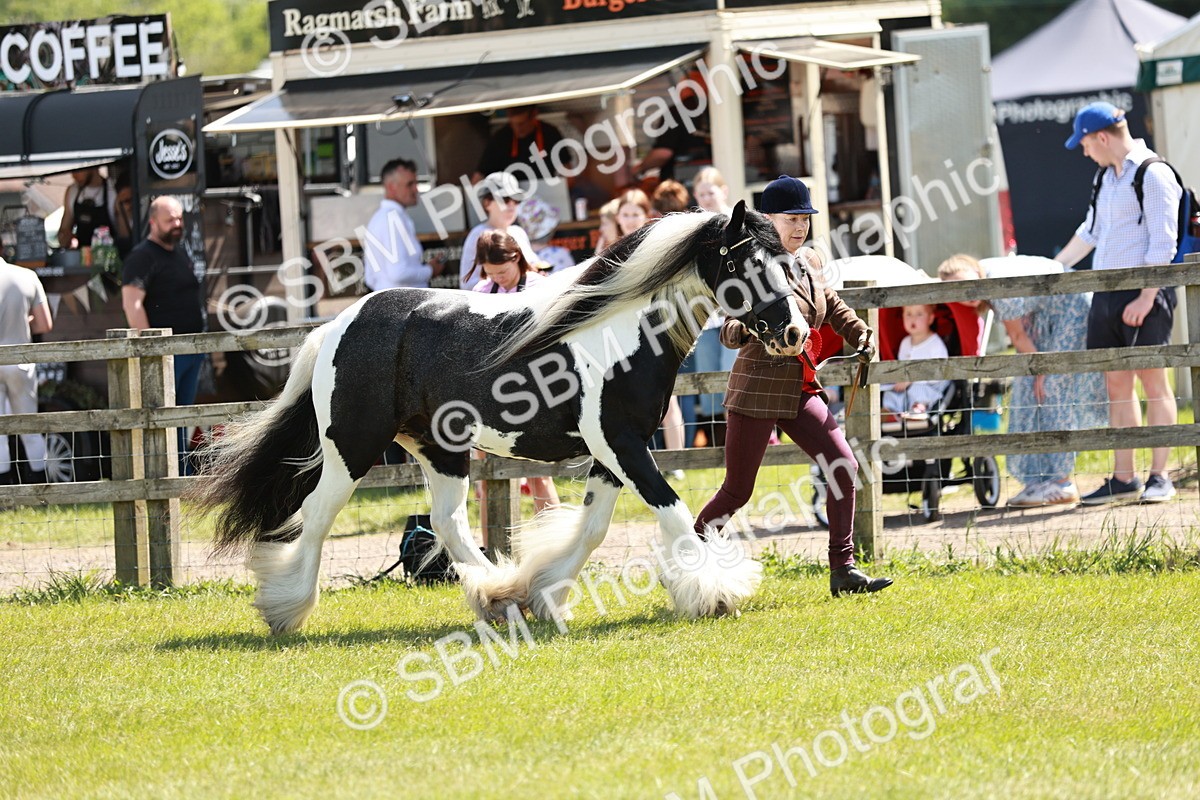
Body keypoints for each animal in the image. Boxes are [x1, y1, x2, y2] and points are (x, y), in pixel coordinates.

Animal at [191, 201, 809, 634]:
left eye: (789, 263)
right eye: (750, 263)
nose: (795, 332)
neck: (619, 333)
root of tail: (337, 324)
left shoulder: (614, 451)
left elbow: (592, 528)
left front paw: (544, 598)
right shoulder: (621, 444)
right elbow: (675, 514)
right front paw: (716, 594)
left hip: (439, 450)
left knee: (447, 524)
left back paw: (497, 598)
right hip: (353, 447)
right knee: (317, 517)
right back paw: (285, 610)